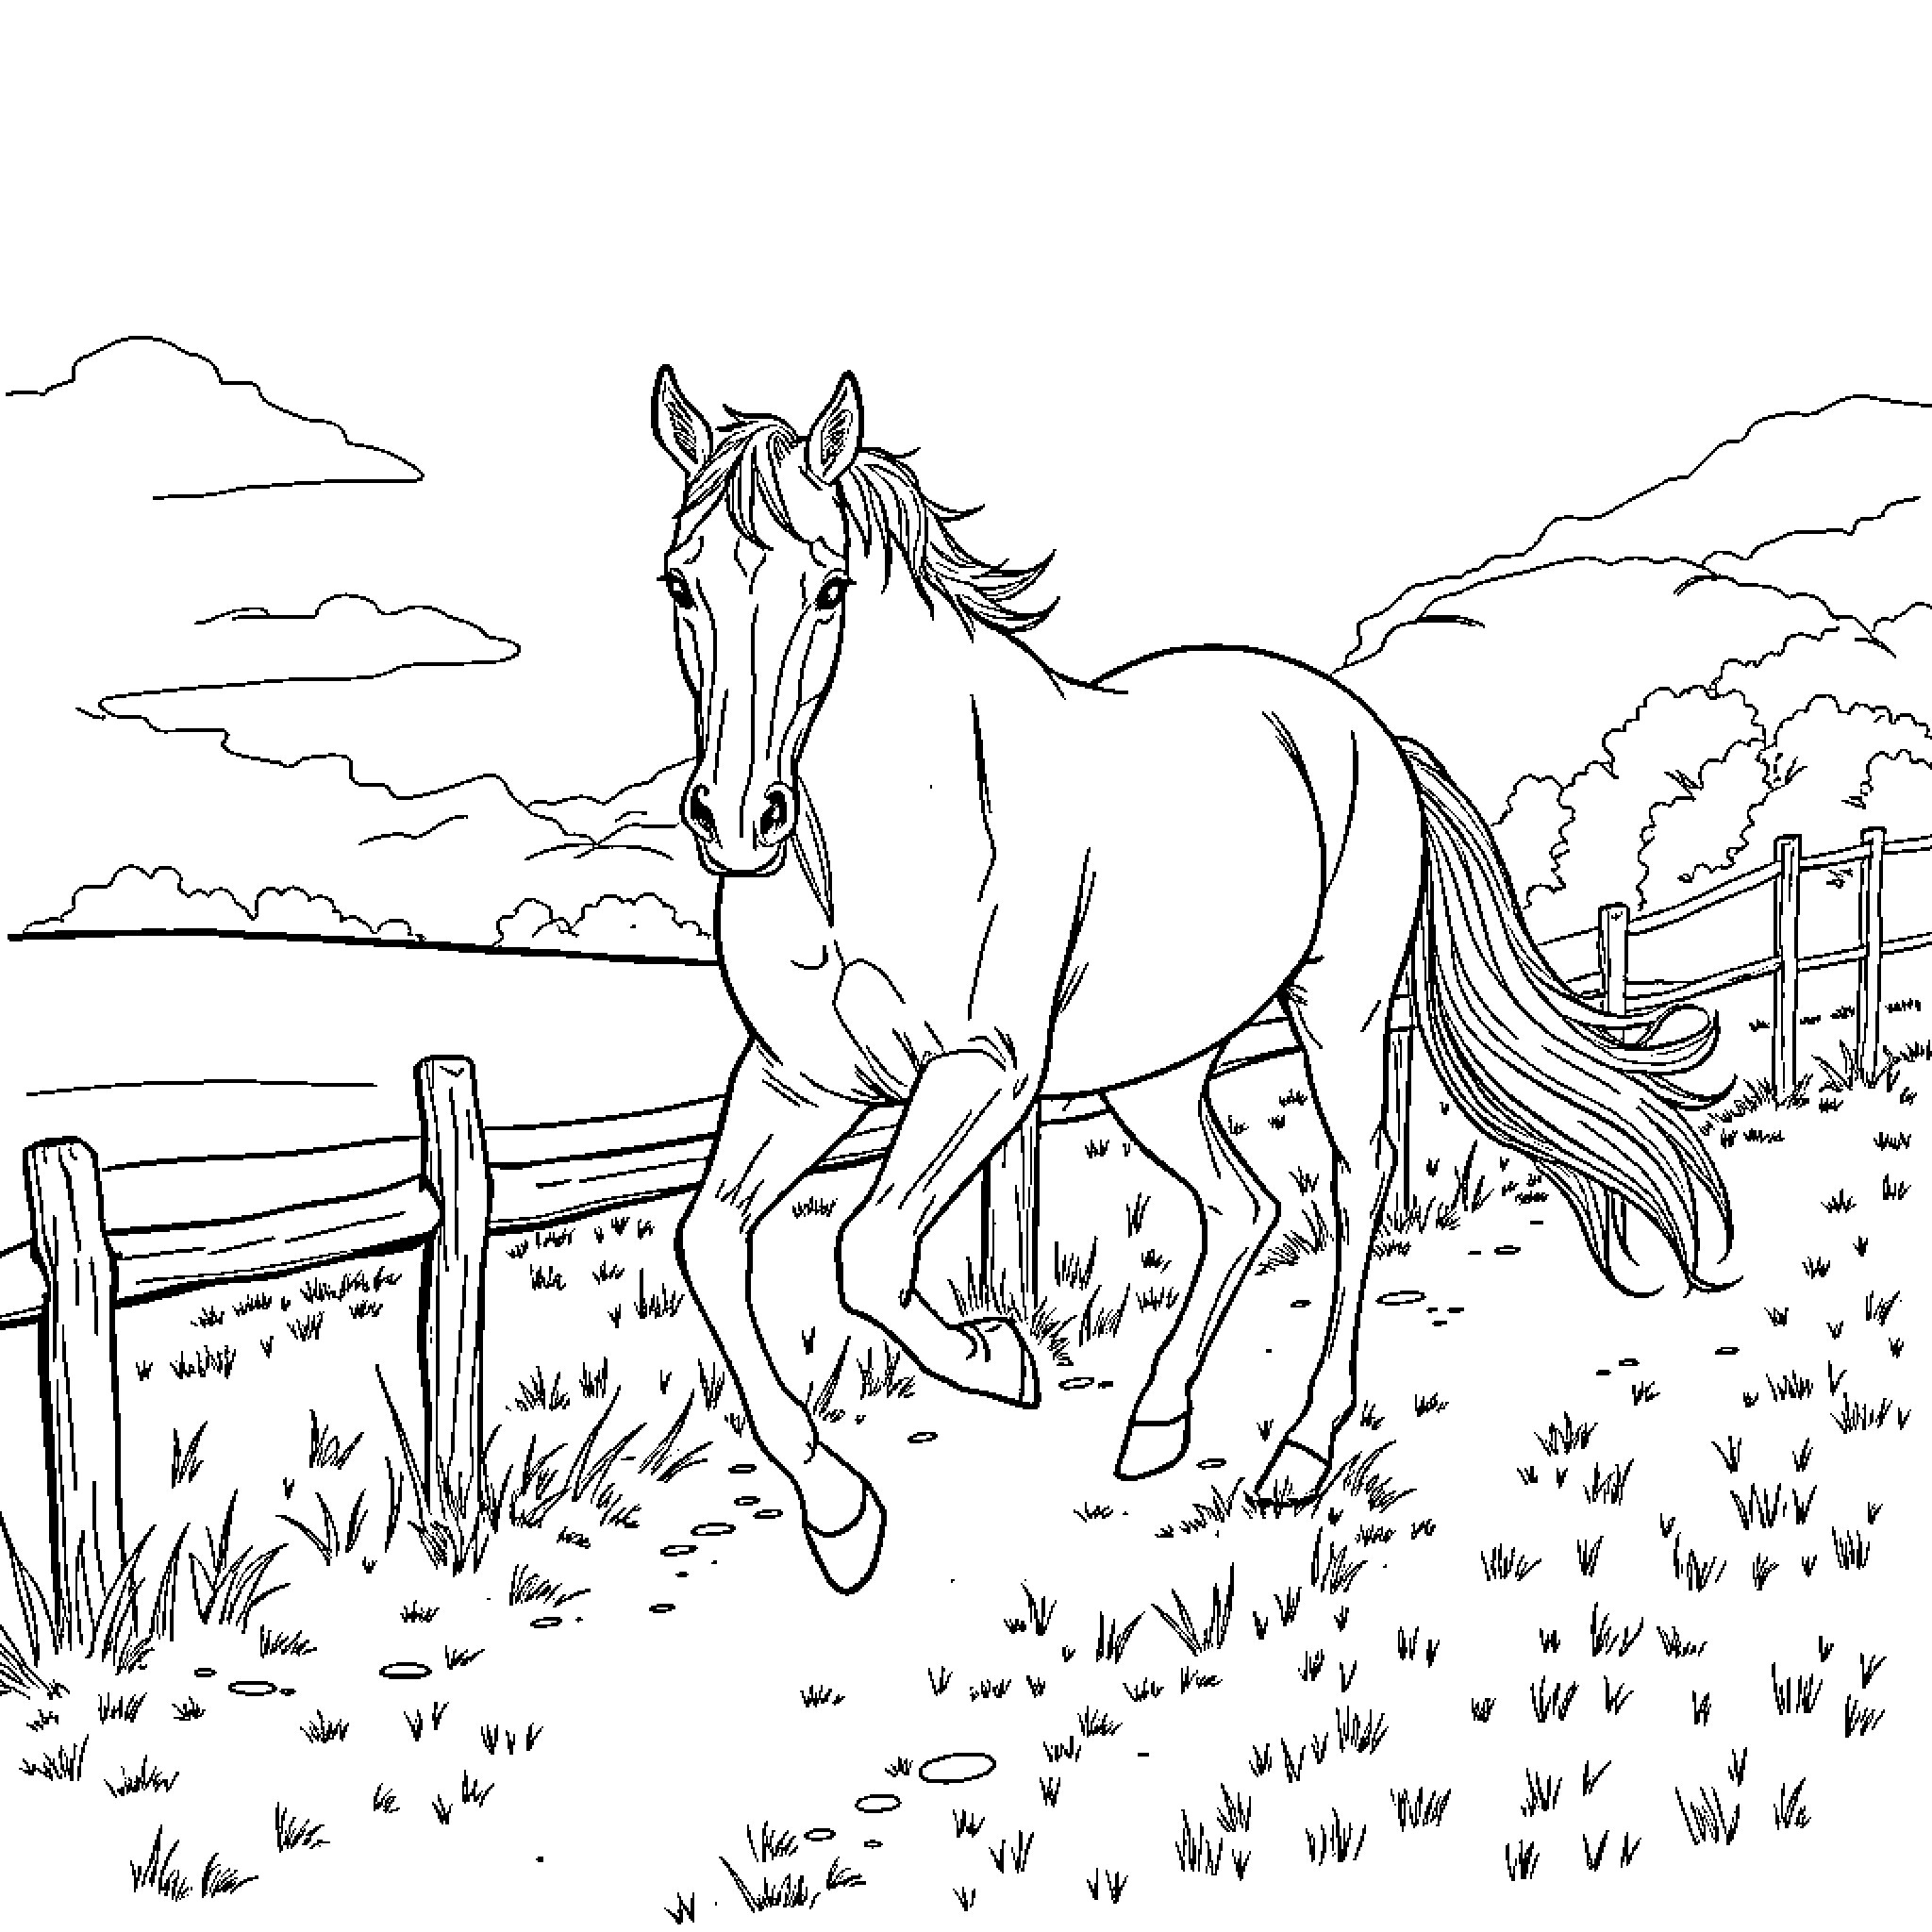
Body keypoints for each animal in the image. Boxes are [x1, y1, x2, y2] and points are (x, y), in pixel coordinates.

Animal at [652, 367, 1731, 1594]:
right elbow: (708, 1244)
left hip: (1338, 1015)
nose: (737, 820)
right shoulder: (800, 1082)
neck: (877, 842)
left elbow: (866, 1249)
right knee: (1239, 1201)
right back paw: (1155, 1418)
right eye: (680, 581)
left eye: (828, 587)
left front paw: (993, 1357)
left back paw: (1299, 1448)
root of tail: (1366, 730)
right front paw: (839, 1515)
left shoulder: (983, 1072)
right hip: (1155, 1072)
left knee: (1350, 1183)